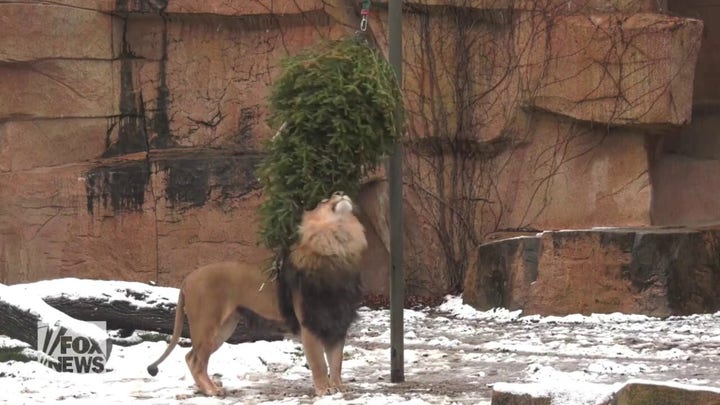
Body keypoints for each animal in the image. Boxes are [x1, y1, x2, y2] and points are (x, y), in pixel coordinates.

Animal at [148, 192, 368, 394]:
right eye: (324, 200)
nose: (341, 193)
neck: (339, 241)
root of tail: (188, 277)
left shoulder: (338, 322)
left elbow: (336, 361)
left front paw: (339, 388)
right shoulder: (310, 322)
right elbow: (319, 363)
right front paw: (324, 390)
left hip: (224, 328)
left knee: (194, 358)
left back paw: (208, 387)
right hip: (206, 325)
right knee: (194, 359)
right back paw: (212, 390)